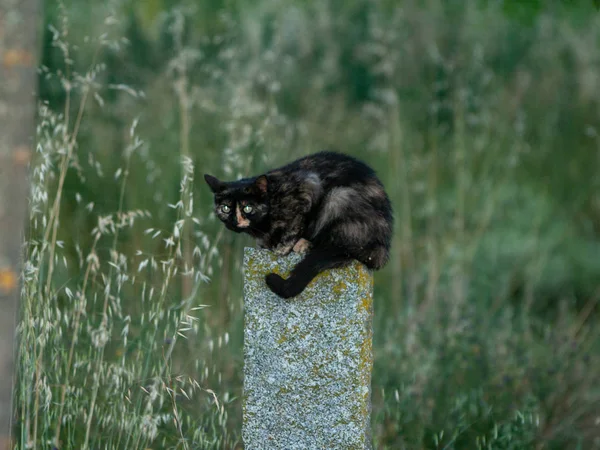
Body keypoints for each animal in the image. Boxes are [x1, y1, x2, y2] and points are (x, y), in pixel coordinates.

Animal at [205, 151, 394, 298]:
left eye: (247, 208)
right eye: (225, 208)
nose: (234, 222)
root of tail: (382, 248)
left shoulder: (308, 187)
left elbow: (295, 225)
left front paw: (282, 248)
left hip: (338, 198)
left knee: (339, 247)